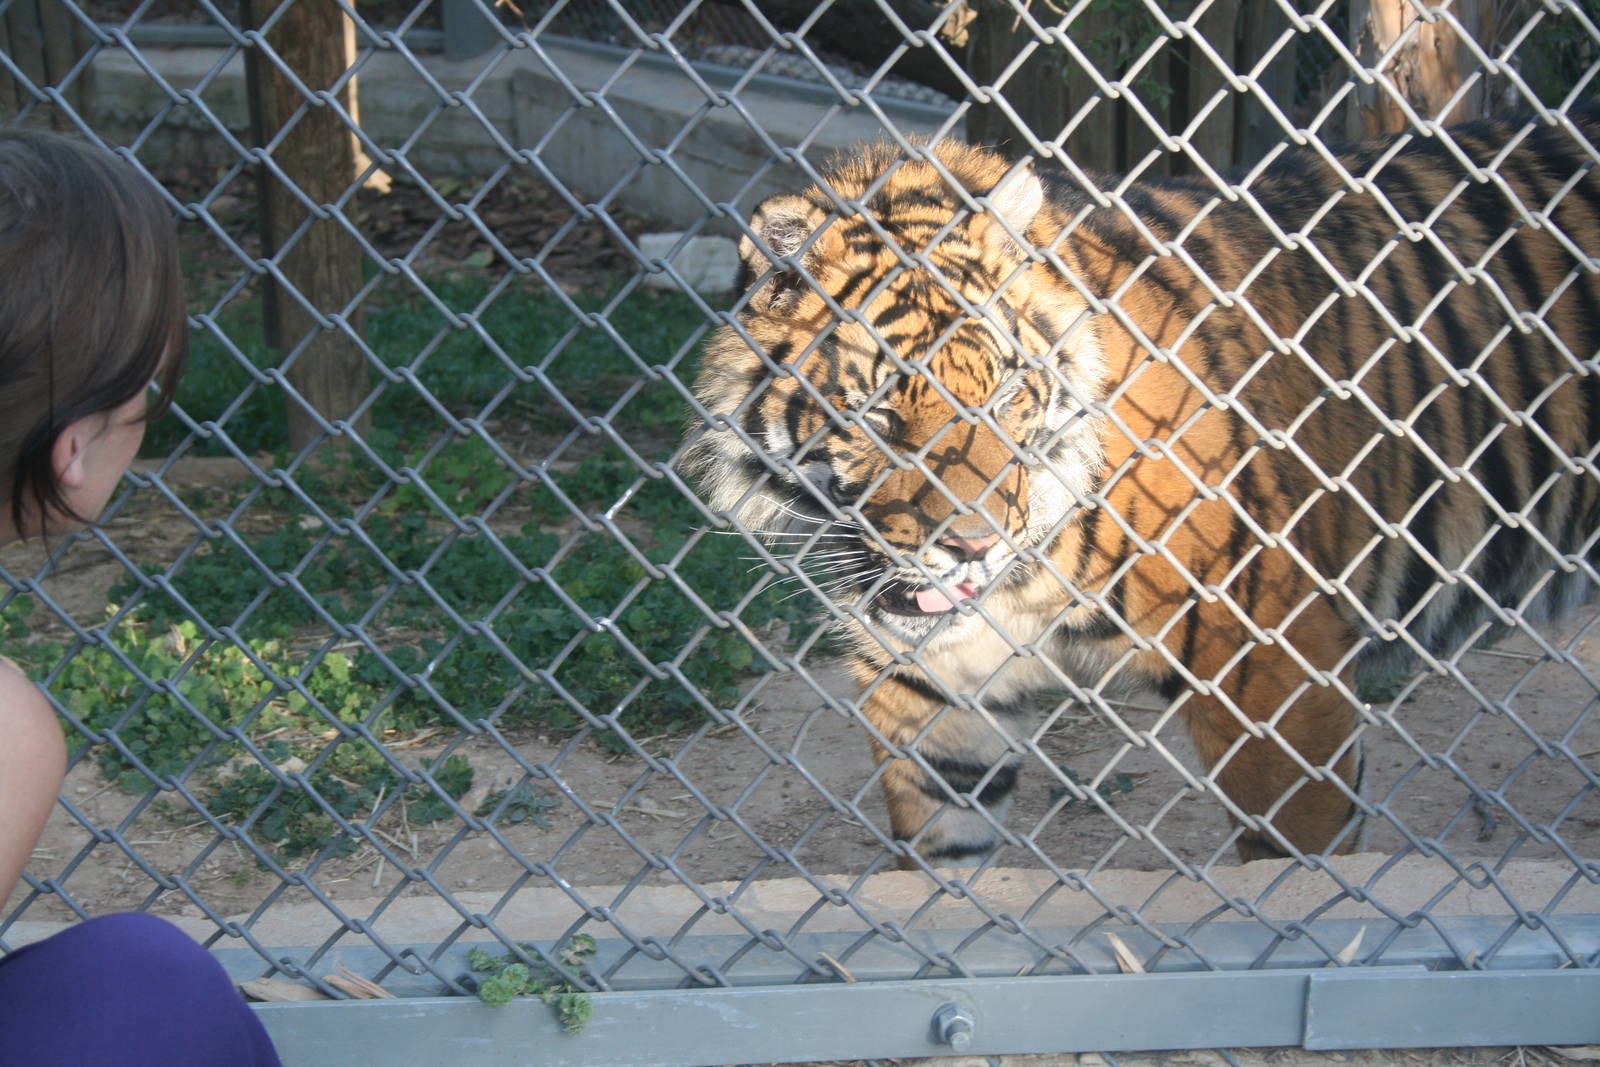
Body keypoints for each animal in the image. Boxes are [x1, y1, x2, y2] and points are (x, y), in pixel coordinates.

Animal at [682, 107, 1600, 868]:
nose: (974, 544)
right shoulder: (931, 688)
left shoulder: (1272, 667)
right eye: (878, 413)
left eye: (1005, 396)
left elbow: (1298, 861)